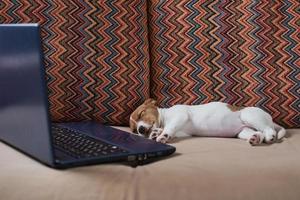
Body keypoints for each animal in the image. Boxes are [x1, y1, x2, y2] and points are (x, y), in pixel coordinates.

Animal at [129, 98, 286, 145]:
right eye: (134, 130)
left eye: (141, 114)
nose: (140, 130)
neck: (164, 117)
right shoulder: (182, 131)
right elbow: (167, 129)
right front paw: (155, 133)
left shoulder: (180, 115)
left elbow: (170, 127)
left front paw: (162, 136)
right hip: (243, 131)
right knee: (258, 132)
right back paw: (256, 138)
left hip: (249, 116)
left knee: (268, 129)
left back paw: (270, 136)